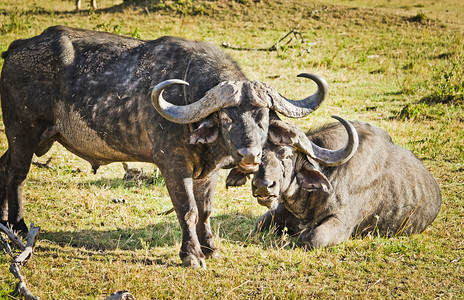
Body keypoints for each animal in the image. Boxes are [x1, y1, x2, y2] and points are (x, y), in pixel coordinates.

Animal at [0, 26, 334, 268]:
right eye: (226, 117)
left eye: (263, 116)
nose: (249, 155)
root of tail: (17, 48)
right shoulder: (173, 166)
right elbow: (187, 210)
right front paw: (192, 255)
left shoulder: (208, 172)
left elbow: (205, 210)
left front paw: (209, 247)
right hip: (22, 132)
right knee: (17, 175)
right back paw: (18, 225)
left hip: (34, 137)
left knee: (4, 167)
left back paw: (3, 221)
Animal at [228, 118, 442, 247]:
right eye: (257, 156)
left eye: (288, 155)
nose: (263, 185)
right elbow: (259, 223)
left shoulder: (341, 224)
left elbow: (313, 237)